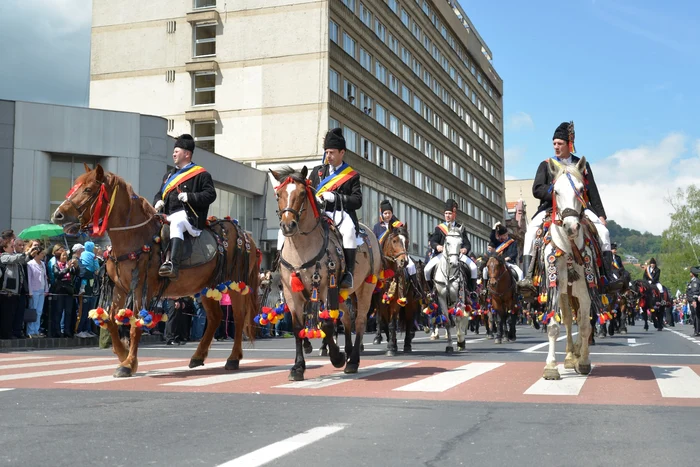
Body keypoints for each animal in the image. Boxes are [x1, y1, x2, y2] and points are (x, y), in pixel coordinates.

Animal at [51, 164, 260, 376]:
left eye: (87, 190)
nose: (57, 215)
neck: (134, 236)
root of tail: (245, 235)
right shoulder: (120, 287)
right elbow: (110, 320)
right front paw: (122, 354)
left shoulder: (142, 287)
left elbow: (135, 323)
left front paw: (128, 364)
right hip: (207, 287)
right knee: (215, 317)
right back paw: (198, 356)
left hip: (234, 284)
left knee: (239, 318)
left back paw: (233, 358)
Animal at [270, 167, 380, 380]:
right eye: (278, 195)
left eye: (302, 194)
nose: (288, 226)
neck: (301, 249)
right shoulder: (291, 293)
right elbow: (298, 327)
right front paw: (298, 367)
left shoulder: (326, 287)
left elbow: (327, 324)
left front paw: (336, 357)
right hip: (343, 293)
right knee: (347, 318)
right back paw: (348, 352)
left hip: (365, 287)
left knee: (360, 321)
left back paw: (352, 360)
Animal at [532, 157, 600, 380]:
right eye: (556, 191)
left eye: (581, 189)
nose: (571, 227)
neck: (569, 249)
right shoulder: (555, 287)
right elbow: (554, 326)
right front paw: (551, 367)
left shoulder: (586, 290)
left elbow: (586, 326)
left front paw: (584, 361)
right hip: (564, 293)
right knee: (570, 321)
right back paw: (570, 356)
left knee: (579, 320)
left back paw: (577, 354)